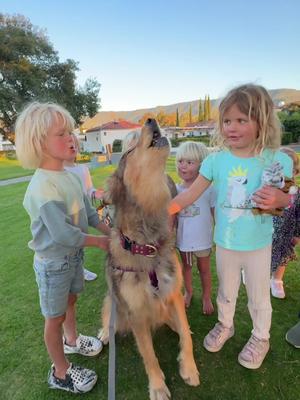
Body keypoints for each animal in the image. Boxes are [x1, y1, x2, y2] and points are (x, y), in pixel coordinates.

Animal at [99, 119, 200, 400]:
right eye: (129, 150)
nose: (151, 119)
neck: (147, 244)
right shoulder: (136, 314)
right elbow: (149, 355)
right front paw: (157, 386)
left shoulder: (174, 294)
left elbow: (186, 337)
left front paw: (189, 368)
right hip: (113, 302)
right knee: (108, 316)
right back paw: (104, 332)